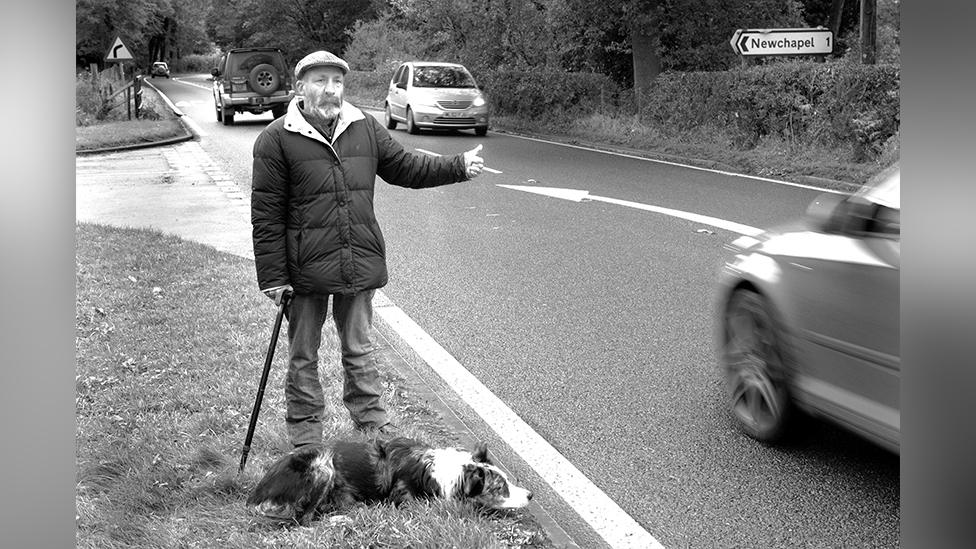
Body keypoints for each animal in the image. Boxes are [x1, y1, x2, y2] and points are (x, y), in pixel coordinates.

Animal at [244, 436, 532, 524]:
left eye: (508, 481)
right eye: (500, 487)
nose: (531, 495)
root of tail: (256, 495)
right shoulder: (409, 504)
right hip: (323, 466)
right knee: (303, 519)